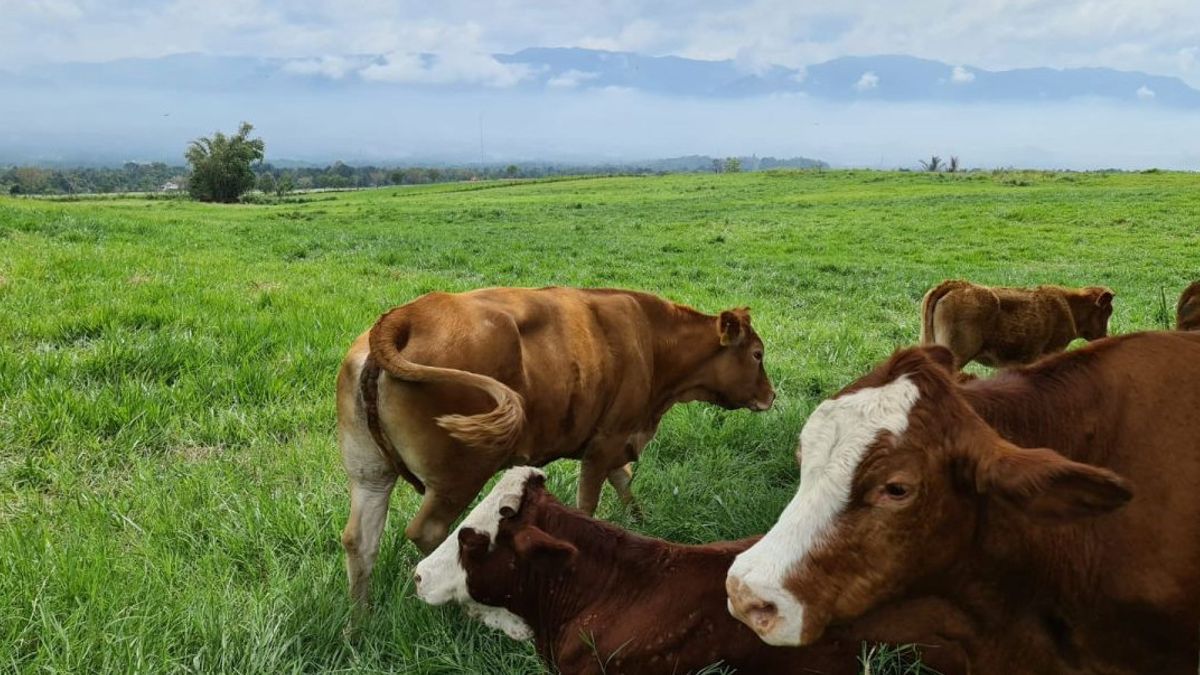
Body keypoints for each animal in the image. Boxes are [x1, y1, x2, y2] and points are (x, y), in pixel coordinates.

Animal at [338, 283, 772, 605]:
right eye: (757, 354)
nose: (771, 395)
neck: (651, 339)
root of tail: (409, 314)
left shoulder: (616, 440)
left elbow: (624, 481)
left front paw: (645, 525)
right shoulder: (606, 439)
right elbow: (590, 504)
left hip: (369, 474)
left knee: (360, 541)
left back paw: (358, 625)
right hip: (458, 477)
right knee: (427, 532)